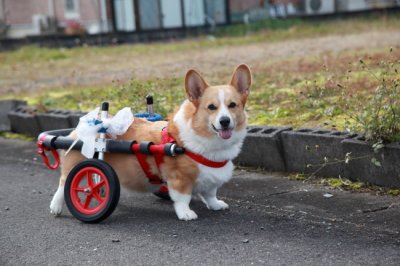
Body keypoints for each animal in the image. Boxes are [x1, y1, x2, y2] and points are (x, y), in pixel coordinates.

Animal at [49, 64, 250, 220]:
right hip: (78, 163)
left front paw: (216, 204)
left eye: (233, 105)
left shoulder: (211, 179)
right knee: (64, 182)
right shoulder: (180, 179)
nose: (225, 121)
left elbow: (210, 193)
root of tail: (93, 121)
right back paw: (57, 206)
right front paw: (185, 213)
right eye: (211, 107)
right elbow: (182, 198)